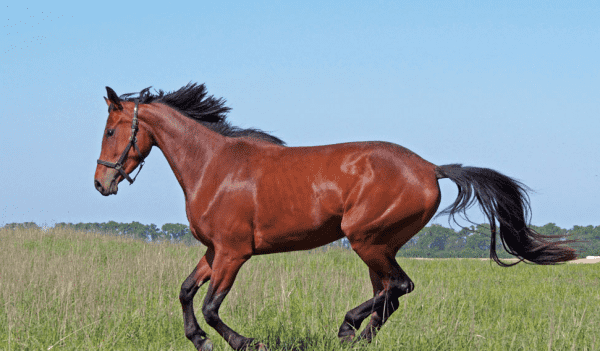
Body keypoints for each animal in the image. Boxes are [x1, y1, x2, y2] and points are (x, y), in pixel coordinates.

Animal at [94, 83, 576, 351]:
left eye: (111, 130)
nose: (102, 184)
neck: (214, 167)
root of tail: (429, 168)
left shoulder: (233, 253)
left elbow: (212, 307)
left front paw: (247, 342)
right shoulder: (214, 251)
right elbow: (185, 292)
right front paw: (198, 341)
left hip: (366, 239)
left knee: (399, 287)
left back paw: (348, 328)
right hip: (378, 246)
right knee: (390, 294)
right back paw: (357, 336)